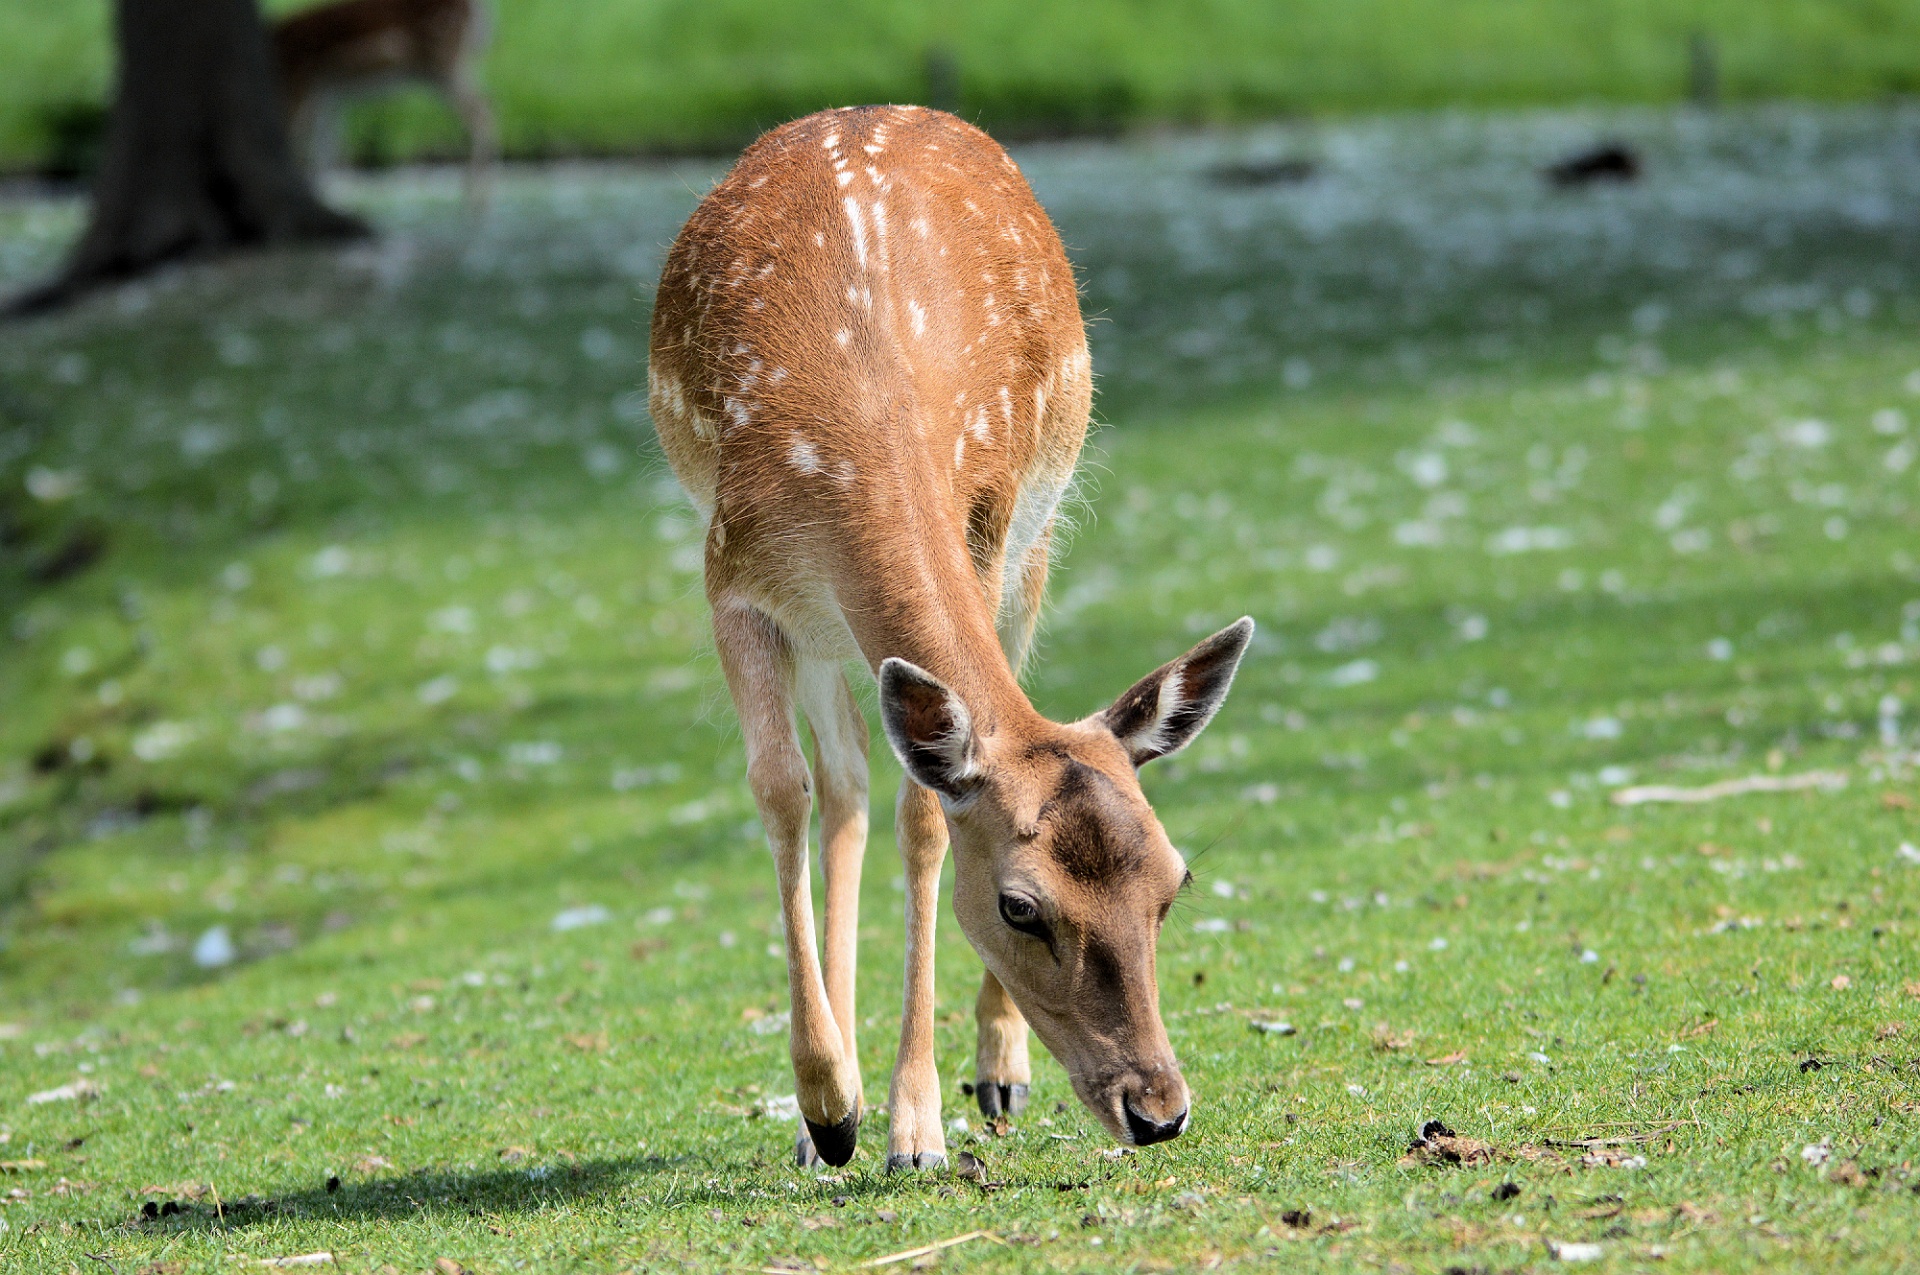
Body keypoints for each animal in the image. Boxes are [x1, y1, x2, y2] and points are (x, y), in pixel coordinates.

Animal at [272, 0, 499, 206]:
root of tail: (479, 12)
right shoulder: (328, 94)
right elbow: (325, 148)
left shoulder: (300, 82)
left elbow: (300, 140)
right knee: (485, 105)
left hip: (444, 62)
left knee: (482, 111)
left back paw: (474, 196)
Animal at [648, 104, 1259, 1167]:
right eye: (1020, 905)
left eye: (1174, 882)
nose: (1160, 1109)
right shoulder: (734, 578)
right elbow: (780, 789)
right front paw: (832, 1106)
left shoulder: (988, 525)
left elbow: (925, 813)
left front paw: (915, 1123)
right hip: (825, 621)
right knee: (844, 778)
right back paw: (825, 1119)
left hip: (1032, 542)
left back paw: (998, 1072)